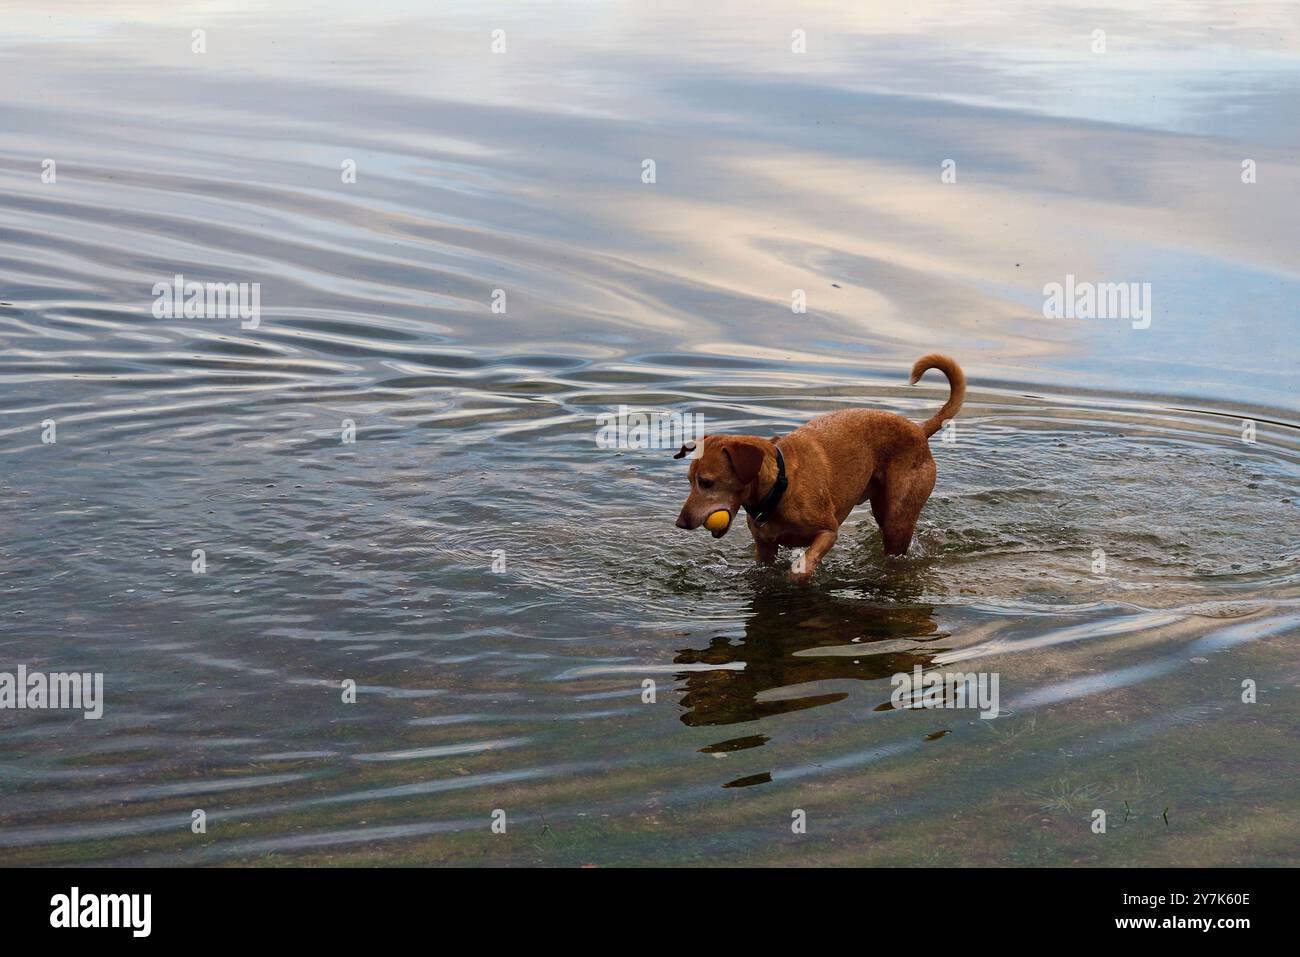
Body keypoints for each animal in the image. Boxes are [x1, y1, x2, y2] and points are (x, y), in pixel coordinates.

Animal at [676, 356, 961, 582]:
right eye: (689, 481)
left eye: (707, 482)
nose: (680, 523)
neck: (779, 486)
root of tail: (919, 429)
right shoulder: (765, 548)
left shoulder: (828, 531)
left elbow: (806, 561)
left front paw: (799, 573)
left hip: (898, 518)